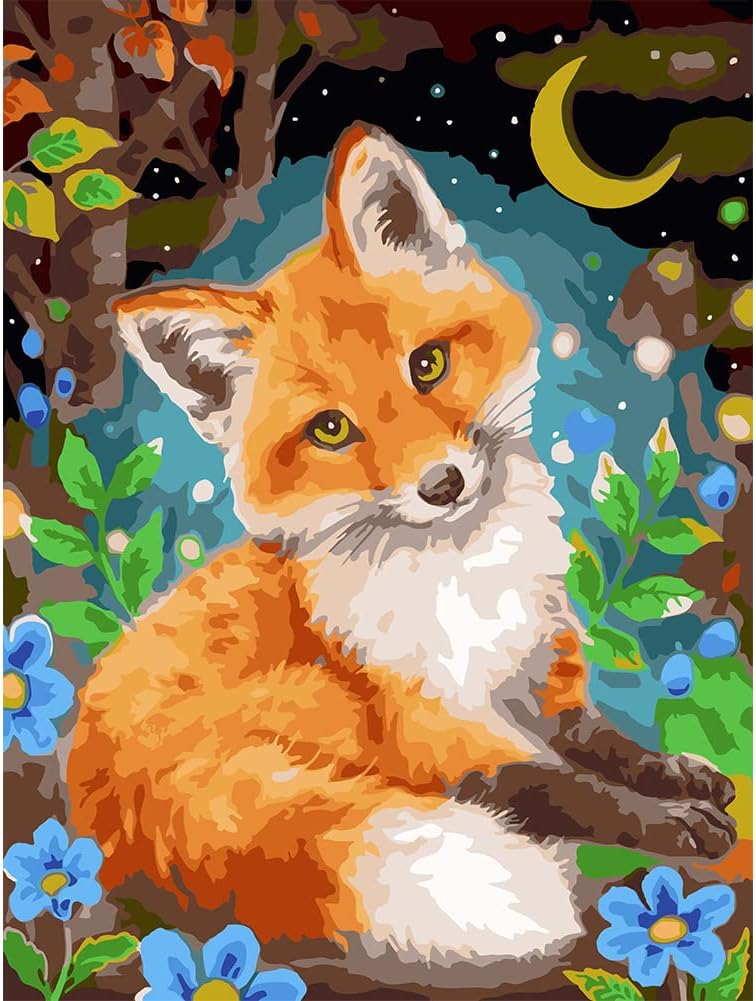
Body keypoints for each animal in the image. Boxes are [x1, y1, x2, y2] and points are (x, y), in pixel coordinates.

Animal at [67, 123, 737, 996]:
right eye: (331, 430)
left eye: (428, 365)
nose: (442, 484)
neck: (467, 582)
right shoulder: (439, 730)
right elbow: (572, 789)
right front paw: (670, 824)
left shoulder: (541, 686)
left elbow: (616, 751)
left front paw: (683, 777)